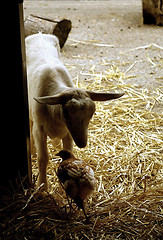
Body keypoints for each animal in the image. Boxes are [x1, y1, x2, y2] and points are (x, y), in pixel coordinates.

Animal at [25, 32, 123, 188]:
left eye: (91, 115)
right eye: (67, 115)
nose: (82, 143)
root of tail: (39, 34)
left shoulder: (68, 133)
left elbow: (68, 154)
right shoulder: (40, 129)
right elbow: (43, 158)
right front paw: (43, 186)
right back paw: (33, 153)